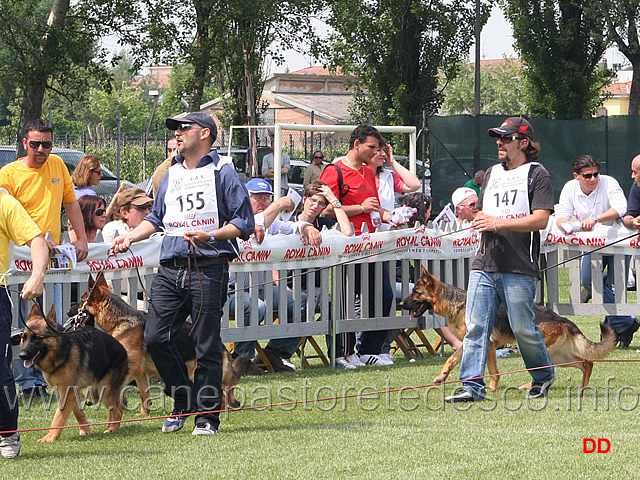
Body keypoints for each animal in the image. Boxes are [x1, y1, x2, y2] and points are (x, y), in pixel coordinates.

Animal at [18, 304, 129, 442]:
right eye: (23, 338)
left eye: (37, 338)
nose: (22, 355)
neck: (61, 352)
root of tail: (122, 348)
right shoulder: (69, 391)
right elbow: (77, 412)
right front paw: (85, 430)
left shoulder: (67, 391)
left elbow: (59, 416)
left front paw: (50, 436)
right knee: (113, 409)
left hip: (105, 391)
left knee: (118, 410)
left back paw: (112, 428)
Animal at [69, 274, 250, 412]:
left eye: (82, 301)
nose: (68, 312)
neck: (120, 320)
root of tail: (221, 346)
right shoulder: (140, 373)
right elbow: (145, 396)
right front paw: (143, 414)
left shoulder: (131, 368)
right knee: (227, 391)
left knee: (222, 397)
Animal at [400, 266, 620, 390]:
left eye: (416, 292)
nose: (401, 304)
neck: (459, 304)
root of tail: (562, 318)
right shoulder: (468, 343)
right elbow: (451, 361)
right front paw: (441, 377)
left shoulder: (488, 345)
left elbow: (492, 371)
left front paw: (491, 389)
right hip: (559, 355)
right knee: (586, 363)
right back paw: (581, 387)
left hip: (539, 351)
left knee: (548, 370)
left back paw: (531, 386)